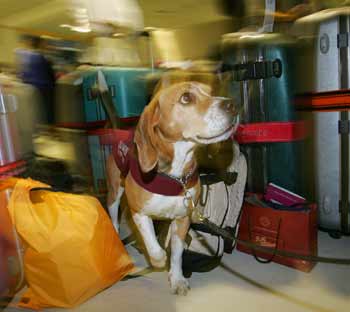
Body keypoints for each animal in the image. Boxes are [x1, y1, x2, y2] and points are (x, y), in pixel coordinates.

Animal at [106, 80, 238, 294]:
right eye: (186, 98)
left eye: (211, 92)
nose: (233, 105)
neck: (175, 176)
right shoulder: (139, 213)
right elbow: (154, 246)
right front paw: (158, 261)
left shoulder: (182, 219)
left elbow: (177, 254)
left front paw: (176, 279)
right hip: (114, 194)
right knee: (115, 220)